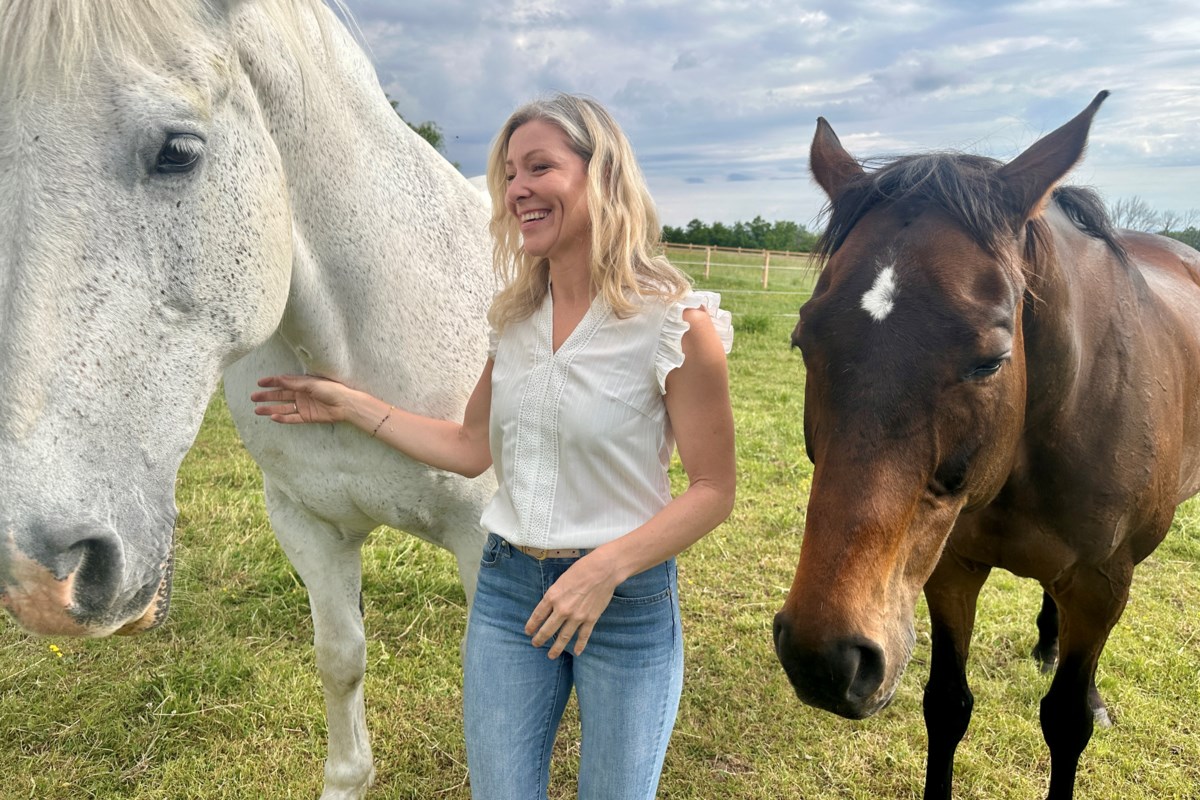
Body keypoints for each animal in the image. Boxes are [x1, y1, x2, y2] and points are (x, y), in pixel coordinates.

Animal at [772, 91, 1200, 799]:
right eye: (803, 341)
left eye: (991, 360)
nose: (822, 658)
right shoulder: (949, 568)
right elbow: (947, 705)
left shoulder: (1102, 584)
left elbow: (1066, 721)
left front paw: (1085, 704)